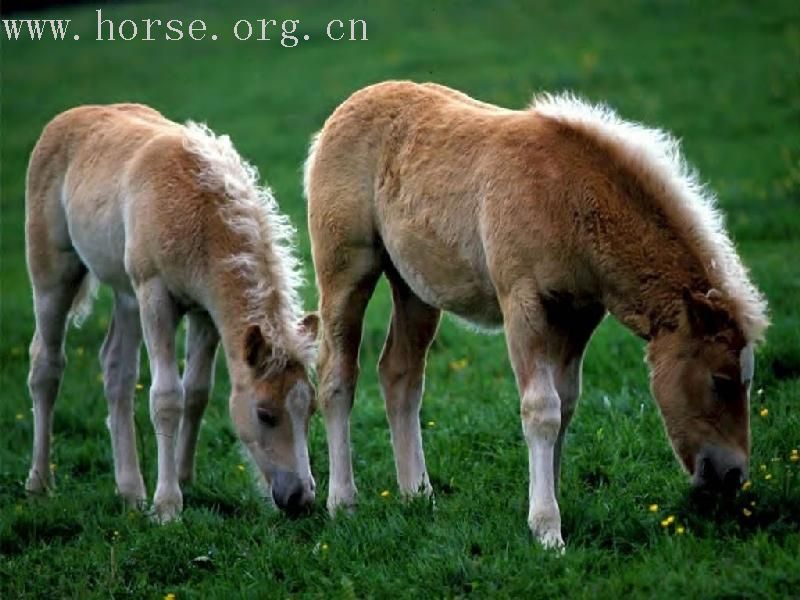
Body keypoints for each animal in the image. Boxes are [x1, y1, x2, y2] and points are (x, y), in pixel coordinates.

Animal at [25, 106, 318, 520]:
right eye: (264, 413)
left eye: (310, 410)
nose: (301, 498)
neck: (201, 216)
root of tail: (67, 118)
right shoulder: (155, 295)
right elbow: (166, 397)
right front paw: (167, 506)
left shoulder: (206, 312)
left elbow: (196, 392)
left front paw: (183, 479)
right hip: (54, 274)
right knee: (46, 365)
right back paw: (39, 484)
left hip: (126, 294)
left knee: (116, 370)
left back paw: (130, 490)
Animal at [306, 82, 768, 552]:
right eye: (721, 381)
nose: (733, 475)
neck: (568, 199)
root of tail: (344, 110)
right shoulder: (523, 305)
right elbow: (542, 409)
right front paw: (547, 529)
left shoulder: (578, 316)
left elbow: (566, 403)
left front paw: (550, 501)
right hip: (347, 271)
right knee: (336, 376)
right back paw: (342, 502)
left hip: (415, 287)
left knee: (400, 374)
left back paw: (418, 496)